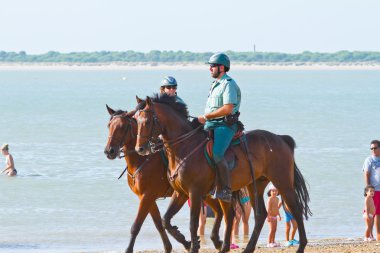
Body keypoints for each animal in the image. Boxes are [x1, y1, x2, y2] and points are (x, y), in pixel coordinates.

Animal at [102, 104, 224, 251]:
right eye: (109, 125)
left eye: (122, 127)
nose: (109, 151)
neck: (142, 159)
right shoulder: (146, 197)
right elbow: (159, 223)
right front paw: (176, 244)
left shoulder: (147, 196)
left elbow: (136, 226)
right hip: (204, 192)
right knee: (219, 211)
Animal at [135, 95, 310, 253]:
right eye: (136, 121)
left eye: (147, 122)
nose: (140, 149)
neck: (184, 147)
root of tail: (280, 138)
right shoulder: (181, 193)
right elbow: (166, 220)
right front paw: (185, 240)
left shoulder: (194, 192)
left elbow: (193, 224)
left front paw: (193, 245)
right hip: (256, 185)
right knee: (259, 215)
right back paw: (246, 248)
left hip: (283, 183)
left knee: (296, 210)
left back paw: (301, 246)